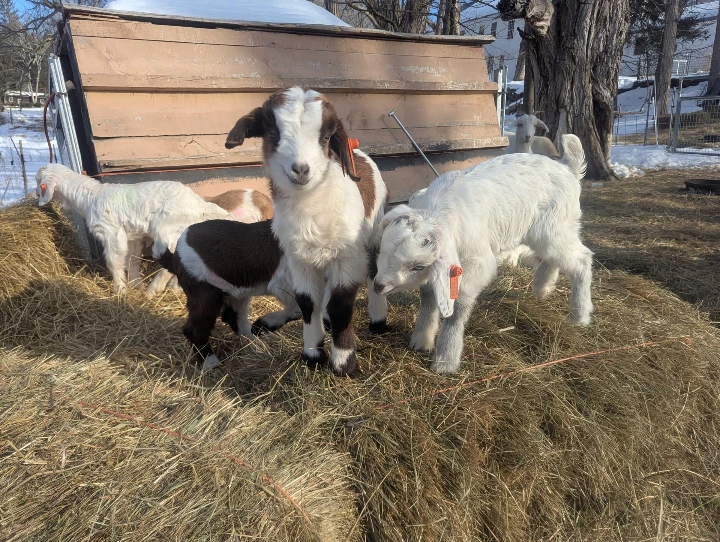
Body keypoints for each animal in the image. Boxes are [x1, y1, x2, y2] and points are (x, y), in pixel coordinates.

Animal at [35, 163, 232, 295]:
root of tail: (200, 204)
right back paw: (174, 287)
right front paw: (135, 284)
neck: (90, 197)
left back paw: (154, 289)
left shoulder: (112, 232)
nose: (36, 194)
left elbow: (114, 262)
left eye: (38, 181)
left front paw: (120, 290)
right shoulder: (133, 237)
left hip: (166, 229)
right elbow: (132, 260)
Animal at [156, 219, 299, 371]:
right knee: (194, 329)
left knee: (234, 317)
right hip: (205, 293)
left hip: (236, 293)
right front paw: (263, 324)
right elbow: (295, 308)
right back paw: (212, 363)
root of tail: (174, 256)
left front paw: (262, 325)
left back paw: (255, 345)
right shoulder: (284, 283)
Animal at [224, 87, 389, 377]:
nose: (301, 169)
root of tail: (357, 152)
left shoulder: (347, 258)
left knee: (373, 274)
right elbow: (308, 302)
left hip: (372, 234)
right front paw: (312, 354)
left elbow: (341, 305)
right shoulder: (298, 259)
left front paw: (344, 362)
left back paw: (378, 321)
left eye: (325, 137)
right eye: (273, 132)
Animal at [373, 134, 593, 374]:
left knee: (581, 260)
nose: (378, 286)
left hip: (555, 227)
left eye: (417, 266)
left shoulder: (475, 264)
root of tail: (567, 166)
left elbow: (458, 306)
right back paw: (543, 287)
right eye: (382, 250)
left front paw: (445, 360)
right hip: (549, 232)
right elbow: (429, 296)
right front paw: (421, 341)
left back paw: (580, 315)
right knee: (553, 258)